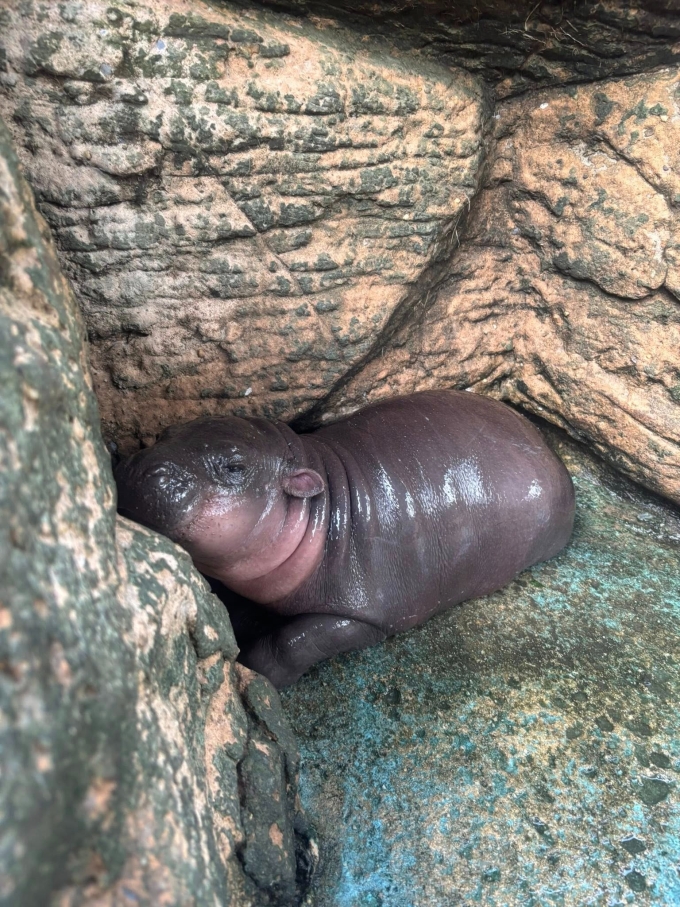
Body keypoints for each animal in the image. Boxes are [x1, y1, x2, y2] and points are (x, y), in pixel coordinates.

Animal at [115, 391, 575, 687]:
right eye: (167, 431)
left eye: (234, 466)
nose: (144, 470)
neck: (323, 504)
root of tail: (548, 450)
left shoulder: (366, 612)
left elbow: (293, 641)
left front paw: (252, 668)